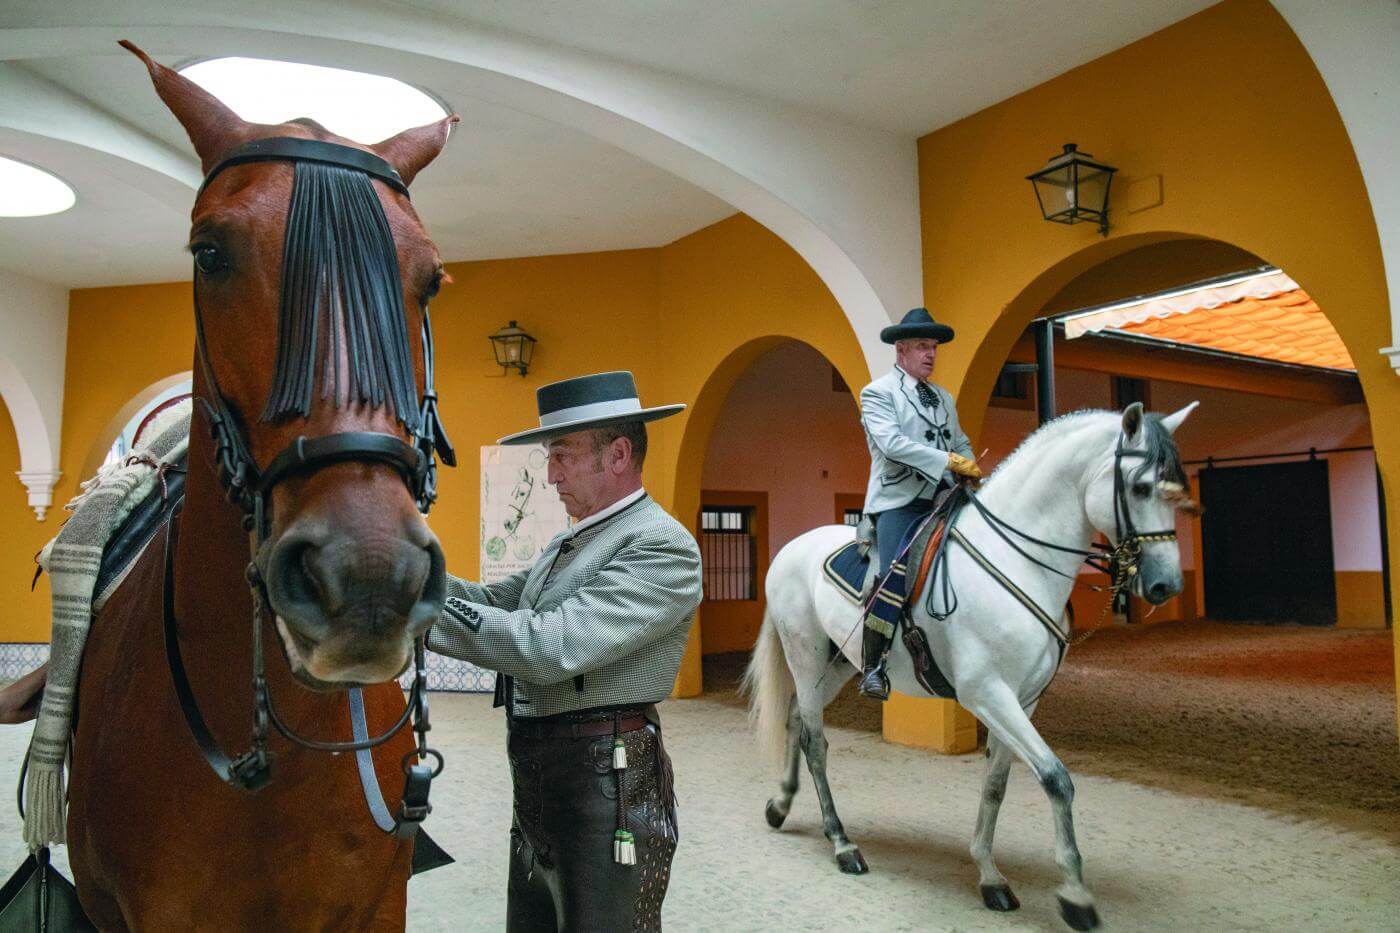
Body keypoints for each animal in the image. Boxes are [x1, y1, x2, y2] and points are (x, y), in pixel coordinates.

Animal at [750, 397, 1198, 924]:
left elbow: (997, 784)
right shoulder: (987, 693)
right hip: (805, 655)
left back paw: (781, 805)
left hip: (838, 664)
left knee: (797, 720)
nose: (1167, 585)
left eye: (1176, 492)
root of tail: (790, 548)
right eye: (1141, 487)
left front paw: (989, 875)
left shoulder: (1023, 700)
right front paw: (1075, 896)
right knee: (815, 742)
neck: (1015, 560)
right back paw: (842, 843)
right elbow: (1056, 779)